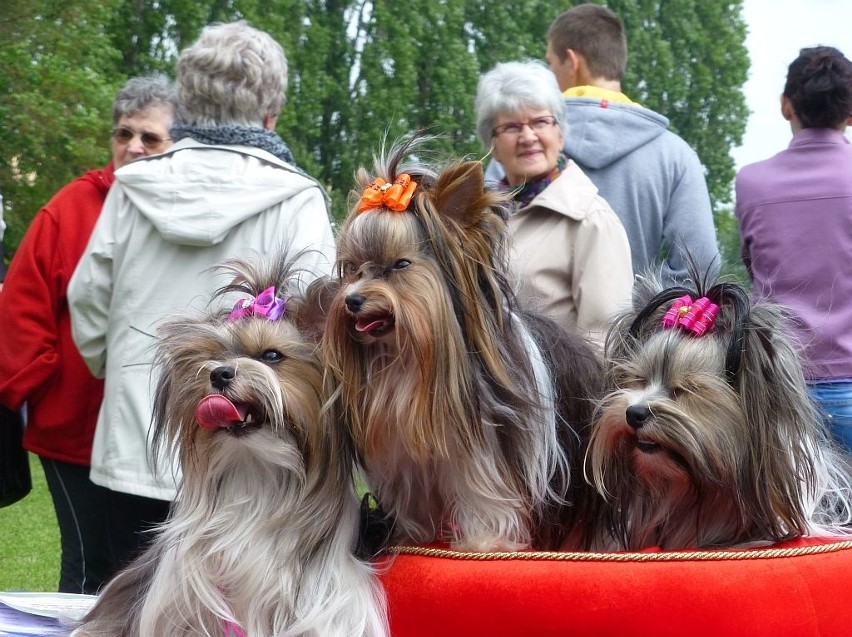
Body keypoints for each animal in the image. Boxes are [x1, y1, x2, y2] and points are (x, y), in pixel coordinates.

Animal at [316, 138, 604, 552]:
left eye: (400, 265)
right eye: (354, 267)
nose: (352, 300)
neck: (412, 358)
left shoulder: (485, 453)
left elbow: (483, 494)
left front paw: (485, 541)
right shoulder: (401, 453)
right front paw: (410, 536)